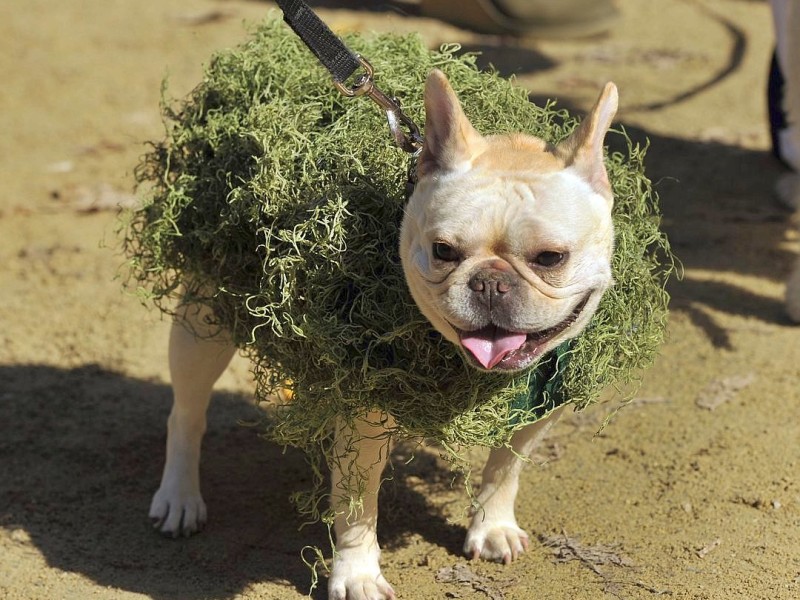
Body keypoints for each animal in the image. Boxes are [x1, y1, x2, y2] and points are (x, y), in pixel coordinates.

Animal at [150, 71, 620, 600]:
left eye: (551, 258)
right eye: (443, 251)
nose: (490, 282)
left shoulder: (541, 402)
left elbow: (506, 465)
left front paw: (492, 525)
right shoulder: (365, 420)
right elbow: (357, 505)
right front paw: (356, 573)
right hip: (203, 326)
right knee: (186, 412)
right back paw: (179, 496)